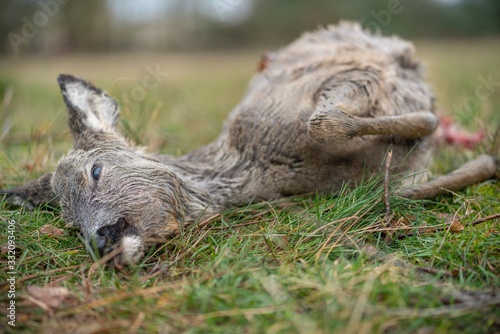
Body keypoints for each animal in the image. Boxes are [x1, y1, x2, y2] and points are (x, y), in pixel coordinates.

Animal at [1, 22, 498, 268]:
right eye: (70, 225)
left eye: (97, 171)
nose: (101, 243)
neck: (252, 168)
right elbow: (400, 189)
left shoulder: (354, 73)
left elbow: (325, 122)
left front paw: (429, 126)